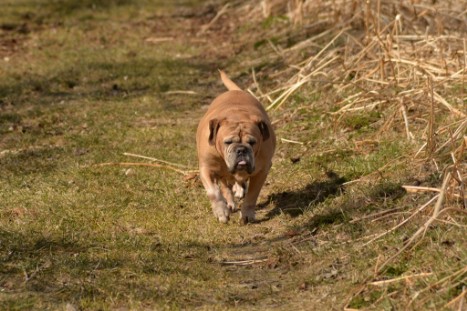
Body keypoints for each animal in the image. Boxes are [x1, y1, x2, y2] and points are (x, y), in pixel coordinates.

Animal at [197, 71, 276, 224]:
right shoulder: (206, 168)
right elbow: (214, 192)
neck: (237, 116)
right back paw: (229, 203)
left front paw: (247, 214)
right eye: (228, 142)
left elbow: (252, 194)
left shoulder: (262, 170)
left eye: (252, 142)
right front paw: (221, 211)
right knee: (224, 184)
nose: (241, 149)